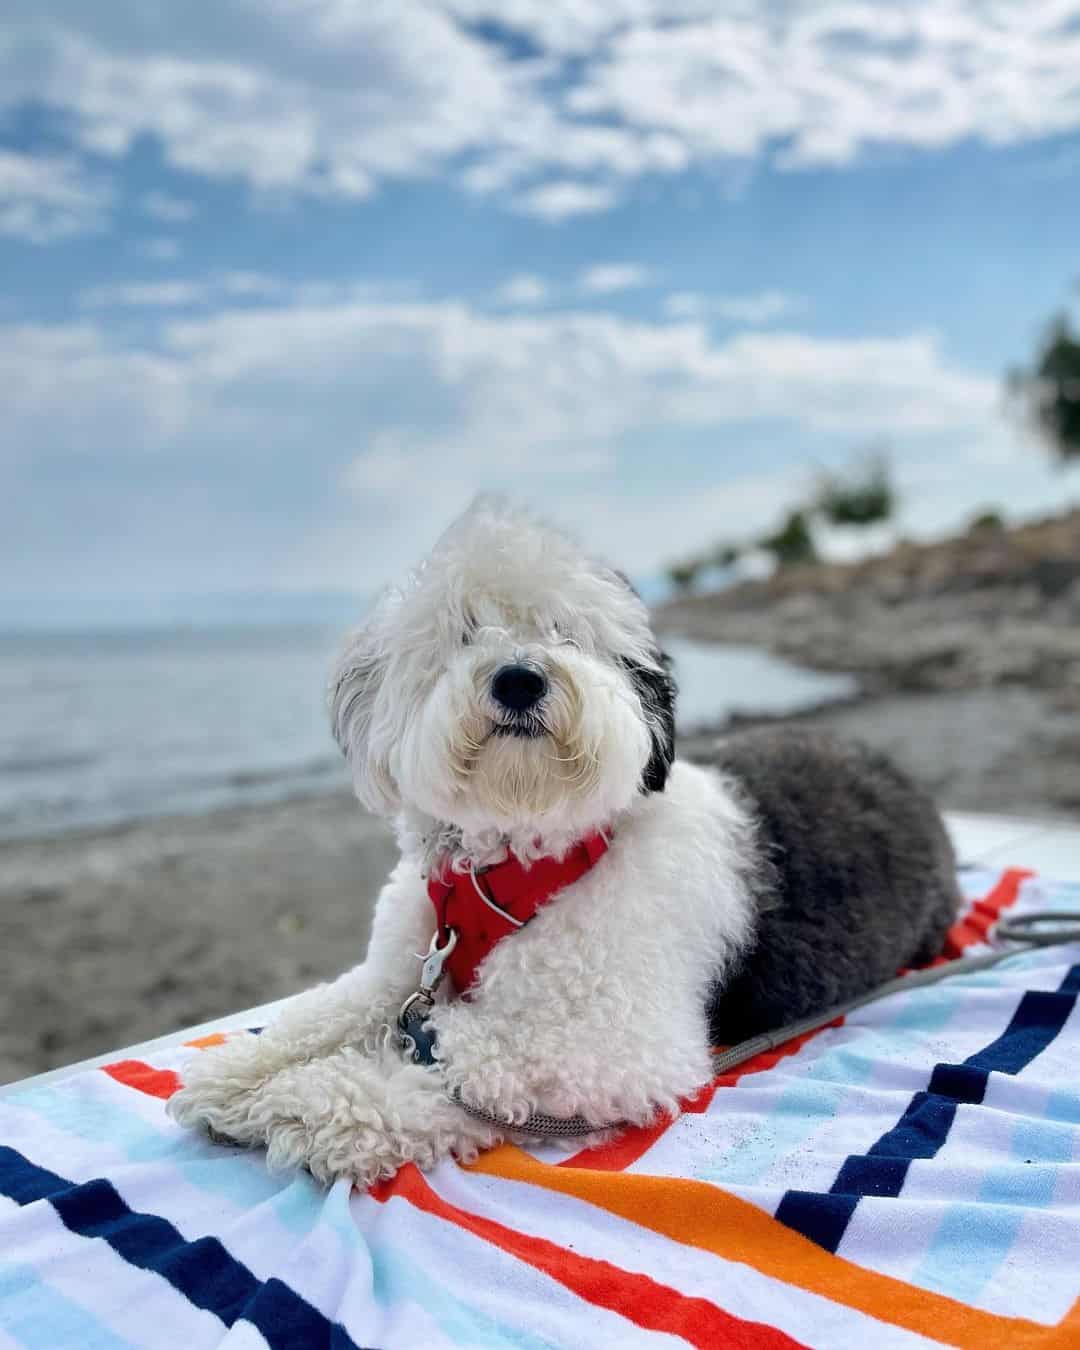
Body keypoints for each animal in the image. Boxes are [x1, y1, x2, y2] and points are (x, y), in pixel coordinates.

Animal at [170, 496, 961, 1182]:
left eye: (567, 633)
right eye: (465, 629)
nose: (520, 679)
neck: (513, 867)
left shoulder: (616, 1047)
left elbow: (457, 1060)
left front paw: (302, 1103)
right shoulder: (398, 972)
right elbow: (331, 1010)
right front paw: (239, 1071)